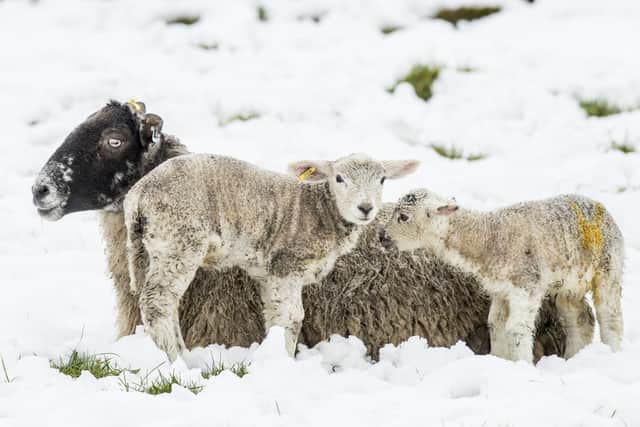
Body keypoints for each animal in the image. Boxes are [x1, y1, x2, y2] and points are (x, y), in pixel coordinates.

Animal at [122, 153, 419, 360]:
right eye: (339, 179)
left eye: (382, 180)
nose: (366, 208)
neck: (318, 210)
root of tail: (137, 196)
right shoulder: (287, 264)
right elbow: (293, 318)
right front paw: (285, 361)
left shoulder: (269, 274)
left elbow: (275, 316)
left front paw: (274, 353)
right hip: (179, 238)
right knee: (158, 301)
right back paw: (173, 360)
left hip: (151, 248)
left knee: (163, 301)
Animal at [380, 189, 624, 362]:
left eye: (403, 217)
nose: (382, 237)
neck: (489, 236)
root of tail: (599, 205)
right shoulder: (500, 289)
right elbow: (495, 324)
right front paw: (498, 360)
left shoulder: (526, 284)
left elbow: (516, 329)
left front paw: (522, 365)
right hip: (569, 283)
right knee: (580, 319)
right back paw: (573, 358)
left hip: (609, 267)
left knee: (610, 318)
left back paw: (612, 353)